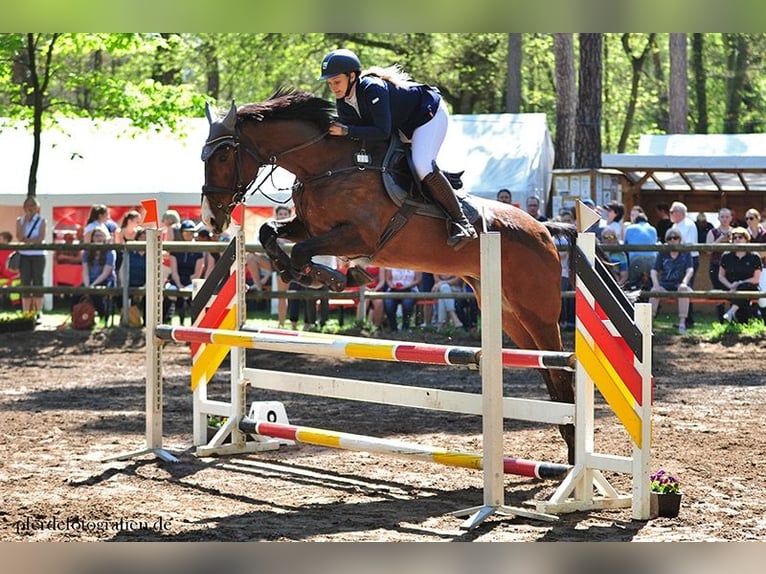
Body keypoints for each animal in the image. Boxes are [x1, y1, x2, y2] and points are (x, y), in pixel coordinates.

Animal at [200, 89, 577, 463]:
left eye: (223, 155)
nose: (211, 220)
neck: (326, 167)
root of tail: (543, 229)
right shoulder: (310, 226)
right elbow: (269, 232)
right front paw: (300, 271)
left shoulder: (358, 236)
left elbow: (303, 251)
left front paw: (333, 277)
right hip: (508, 313)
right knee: (545, 367)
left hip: (537, 312)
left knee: (560, 367)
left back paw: (573, 447)